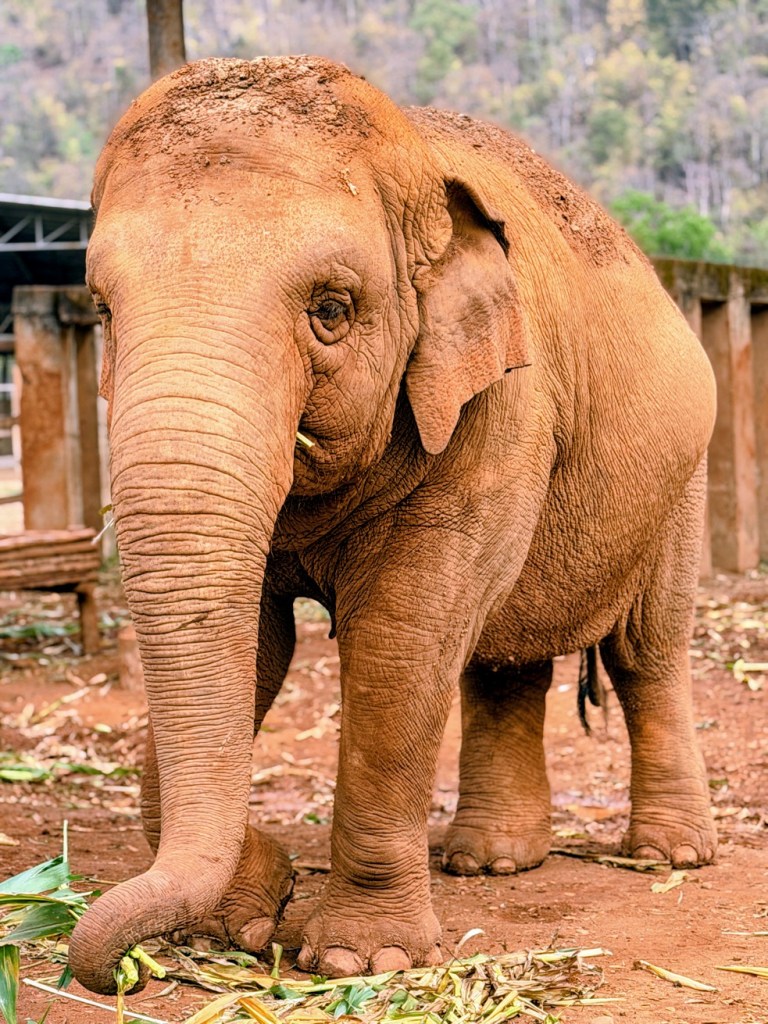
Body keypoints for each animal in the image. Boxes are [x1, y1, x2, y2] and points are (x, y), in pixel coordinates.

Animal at [69, 55, 718, 994]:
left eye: (332, 310)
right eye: (103, 311)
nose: (123, 971)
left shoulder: (504, 402)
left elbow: (402, 634)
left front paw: (355, 956)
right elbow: (257, 642)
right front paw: (256, 909)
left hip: (684, 477)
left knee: (646, 651)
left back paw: (670, 857)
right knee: (503, 658)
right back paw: (489, 861)